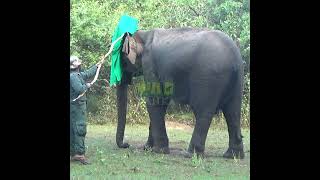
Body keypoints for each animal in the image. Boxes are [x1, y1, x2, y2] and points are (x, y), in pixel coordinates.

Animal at [116, 27, 244, 159]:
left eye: (121, 61)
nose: (126, 144)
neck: (143, 34)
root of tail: (234, 56)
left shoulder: (150, 64)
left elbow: (154, 101)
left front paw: (159, 151)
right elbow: (161, 102)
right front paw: (147, 148)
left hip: (208, 78)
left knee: (203, 112)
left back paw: (191, 154)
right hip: (237, 78)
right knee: (233, 112)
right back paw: (232, 155)